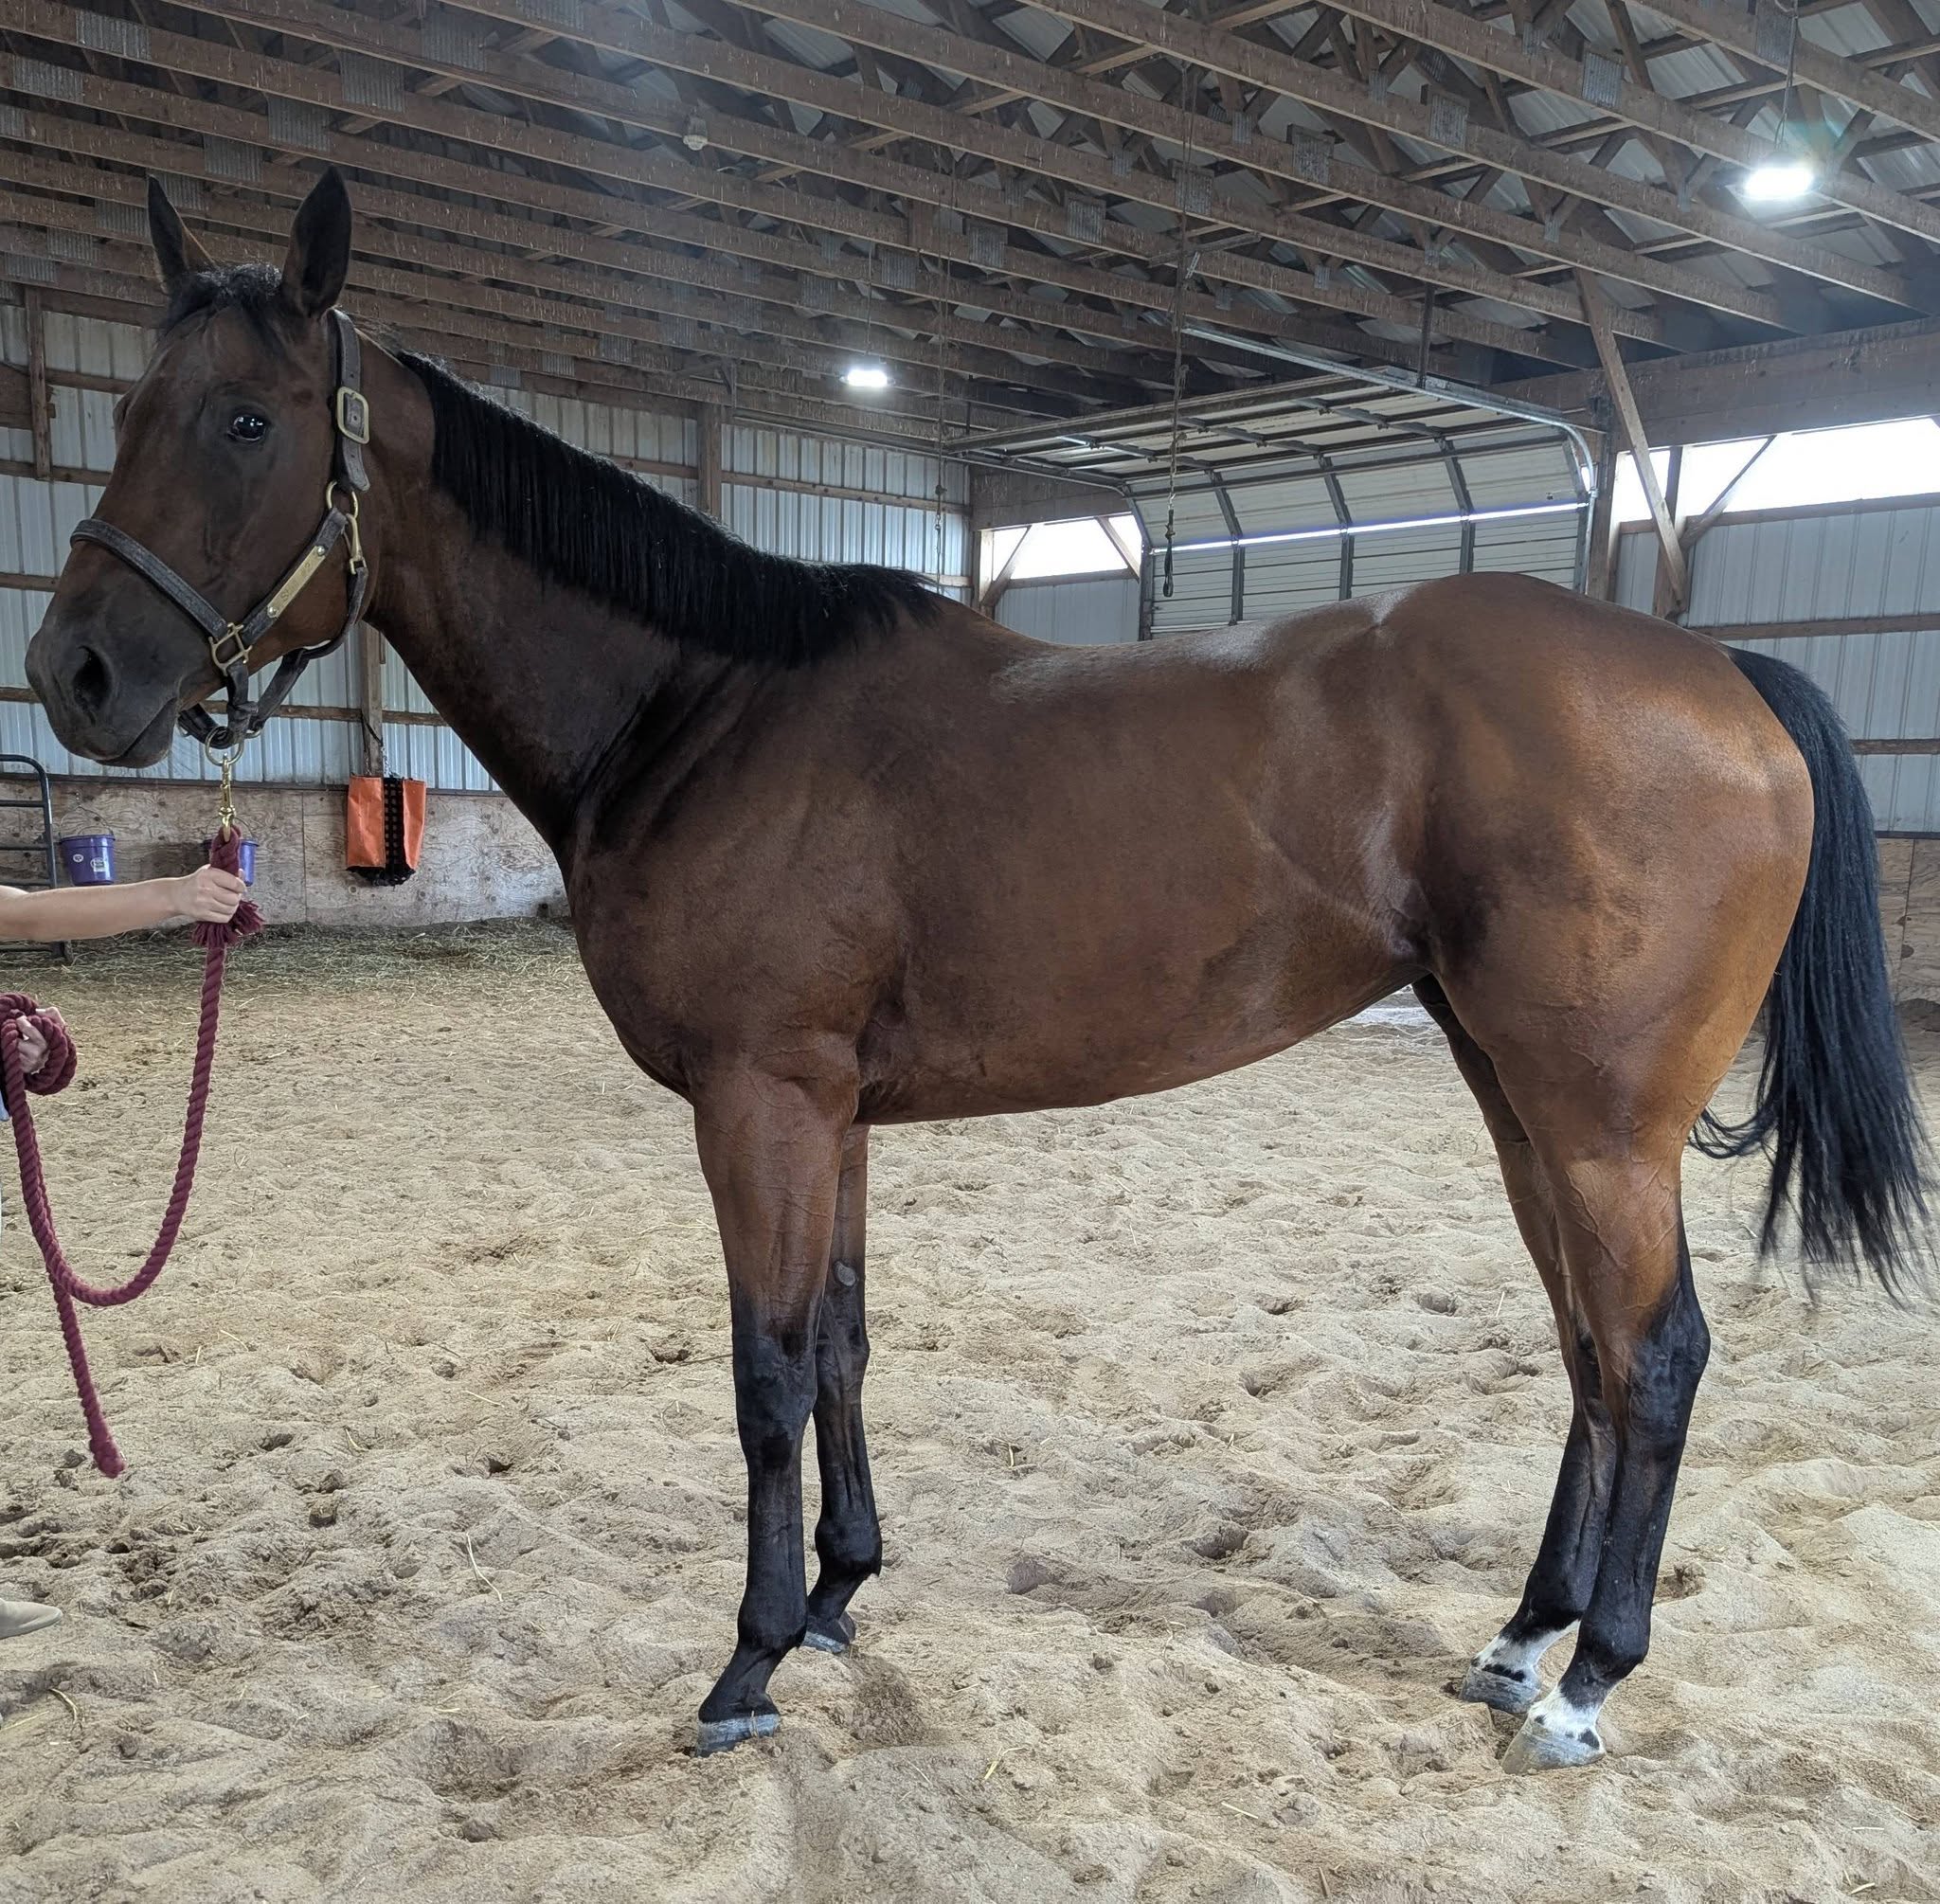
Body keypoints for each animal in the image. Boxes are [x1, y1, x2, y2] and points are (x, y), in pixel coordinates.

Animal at [27, 172, 1927, 1770]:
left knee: (1654, 1358)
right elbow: (845, 1342)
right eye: (119, 412)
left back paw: (1589, 1677)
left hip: (1597, 1124)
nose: (76, 674)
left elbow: (767, 1371)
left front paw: (748, 1659)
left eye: (247, 419)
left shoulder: (760, 1101)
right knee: (1587, 1351)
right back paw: (1525, 1633)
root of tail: (1721, 670)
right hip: (1512, 1093)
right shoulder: (833, 1111)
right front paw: (842, 1593)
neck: (703, 709)